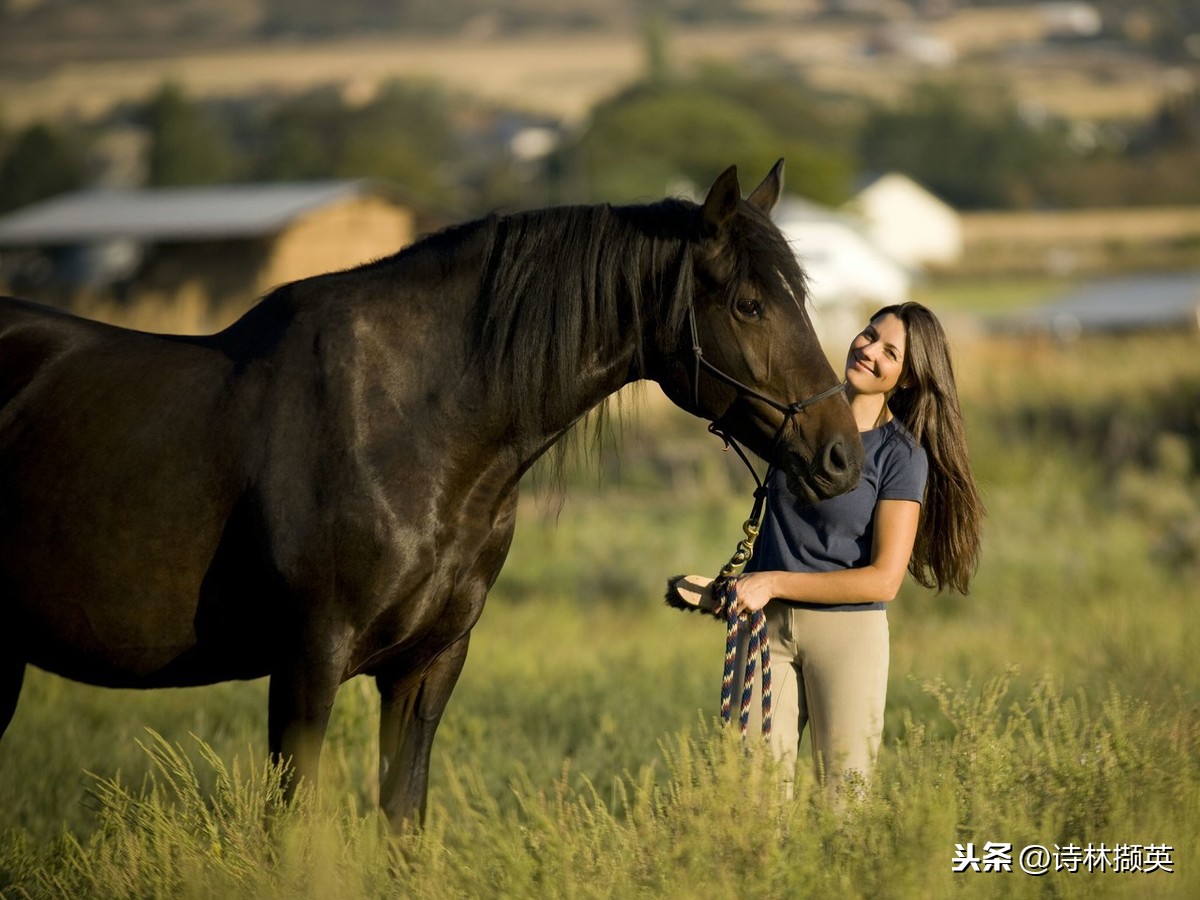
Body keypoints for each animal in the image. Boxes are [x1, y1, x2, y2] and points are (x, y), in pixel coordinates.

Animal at [0, 160, 864, 830]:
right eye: (749, 304)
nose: (842, 456)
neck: (404, 426)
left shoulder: (430, 664)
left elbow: (402, 817)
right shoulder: (306, 662)